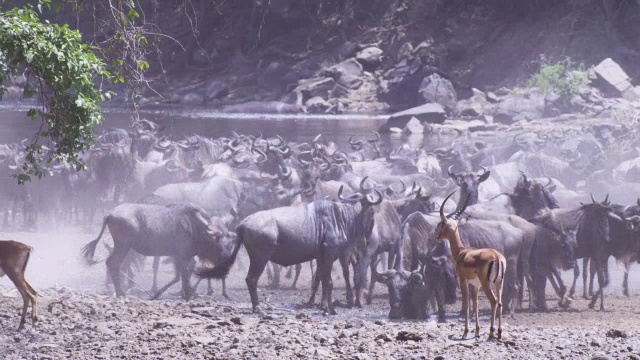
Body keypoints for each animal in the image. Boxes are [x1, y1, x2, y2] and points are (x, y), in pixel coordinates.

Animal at [438, 191, 508, 340]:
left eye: (442, 224)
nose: (438, 236)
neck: (462, 252)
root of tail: (496, 256)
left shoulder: (463, 281)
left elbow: (466, 303)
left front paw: (465, 331)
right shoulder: (476, 285)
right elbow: (475, 304)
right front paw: (476, 331)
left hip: (487, 284)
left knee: (493, 301)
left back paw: (491, 332)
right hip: (499, 282)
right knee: (500, 302)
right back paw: (499, 333)